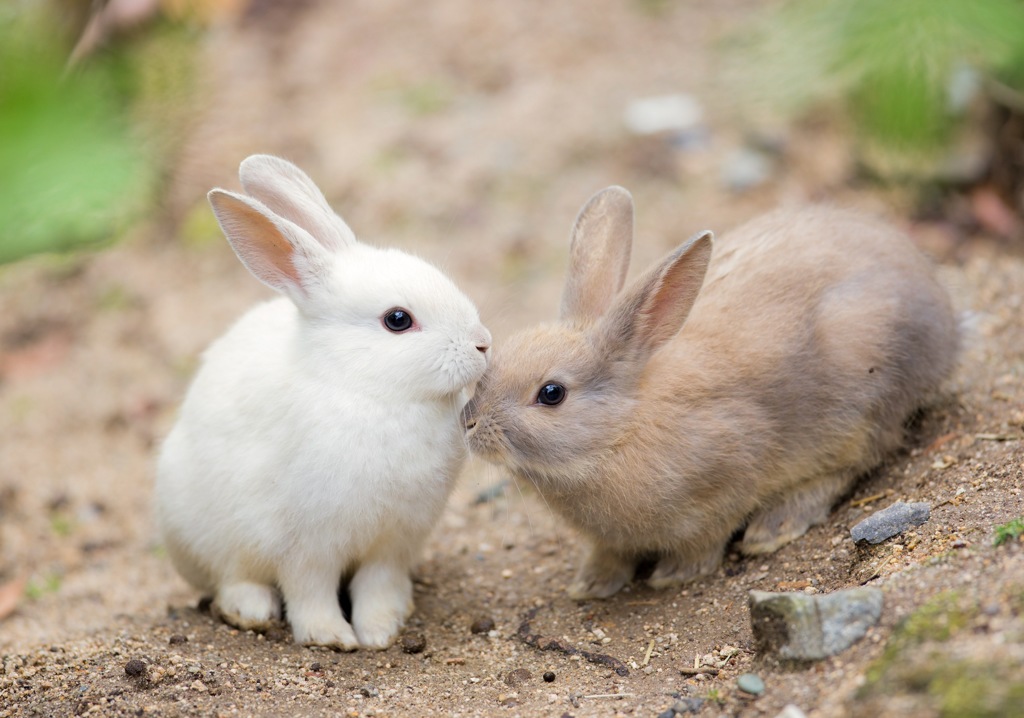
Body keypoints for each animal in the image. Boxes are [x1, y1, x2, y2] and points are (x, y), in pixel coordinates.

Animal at [156, 153, 491, 647]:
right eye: (397, 320)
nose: (483, 344)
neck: (370, 392)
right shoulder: (306, 546)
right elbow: (309, 591)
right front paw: (331, 637)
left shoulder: (393, 543)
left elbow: (377, 586)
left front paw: (381, 631)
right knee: (232, 579)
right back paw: (250, 611)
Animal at [464, 190, 958, 598]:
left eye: (551, 393)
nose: (468, 422)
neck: (620, 431)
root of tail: (945, 315)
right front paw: (591, 584)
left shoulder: (728, 471)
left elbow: (707, 536)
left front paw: (675, 575)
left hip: (861, 400)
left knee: (854, 462)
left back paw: (773, 528)